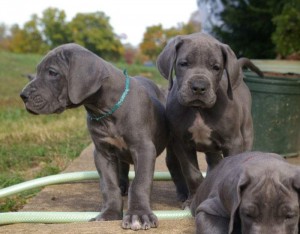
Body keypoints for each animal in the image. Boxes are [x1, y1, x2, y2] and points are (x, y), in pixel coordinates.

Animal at [19, 43, 168, 229]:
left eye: (52, 72)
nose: (23, 95)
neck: (105, 110)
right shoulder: (102, 153)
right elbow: (108, 186)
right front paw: (109, 214)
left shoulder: (143, 148)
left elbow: (140, 182)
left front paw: (139, 215)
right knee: (122, 168)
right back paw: (122, 185)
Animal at [157, 32, 262, 204]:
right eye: (183, 64)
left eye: (216, 67)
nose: (199, 87)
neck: (199, 109)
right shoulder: (181, 143)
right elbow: (192, 173)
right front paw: (192, 201)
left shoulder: (233, 142)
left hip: (246, 134)